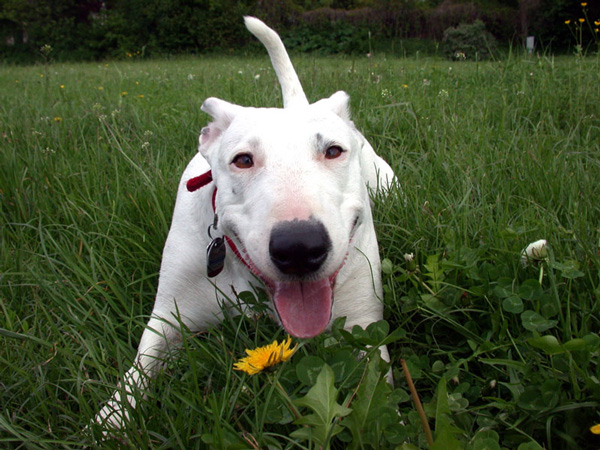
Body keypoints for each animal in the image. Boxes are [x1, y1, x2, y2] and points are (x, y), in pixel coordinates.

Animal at [94, 16, 396, 428]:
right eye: (243, 160)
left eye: (333, 151)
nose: (298, 247)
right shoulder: (167, 320)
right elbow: (134, 376)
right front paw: (107, 421)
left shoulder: (362, 330)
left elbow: (381, 400)